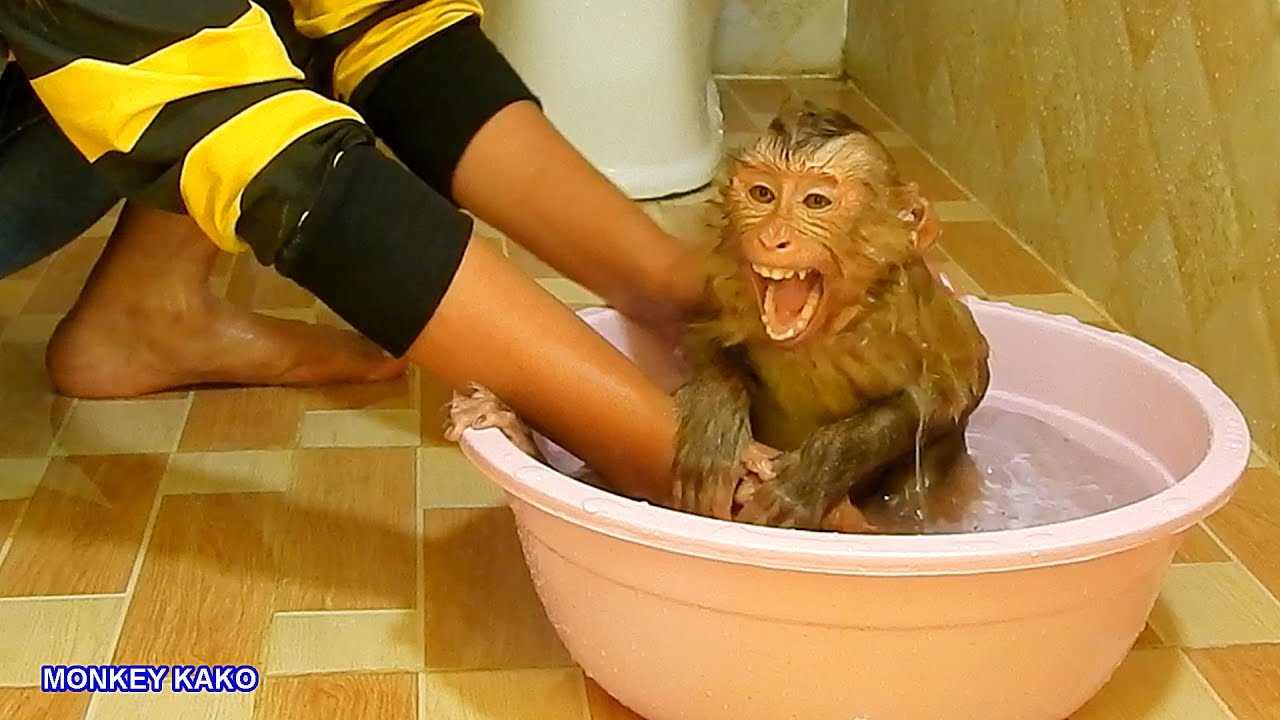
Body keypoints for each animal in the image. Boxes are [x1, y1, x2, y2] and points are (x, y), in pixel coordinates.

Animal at [669, 102, 991, 533]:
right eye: (762, 194)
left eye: (816, 202)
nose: (772, 237)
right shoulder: (726, 282)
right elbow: (706, 338)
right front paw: (714, 420)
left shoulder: (906, 308)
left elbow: (956, 389)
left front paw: (815, 473)